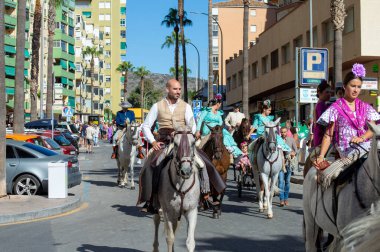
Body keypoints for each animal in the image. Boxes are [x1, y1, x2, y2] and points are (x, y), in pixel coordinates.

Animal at [151, 124, 200, 252]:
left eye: (193, 143)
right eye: (176, 144)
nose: (186, 171)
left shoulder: (192, 211)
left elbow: (190, 242)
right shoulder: (167, 212)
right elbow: (170, 238)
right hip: (158, 207)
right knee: (156, 221)